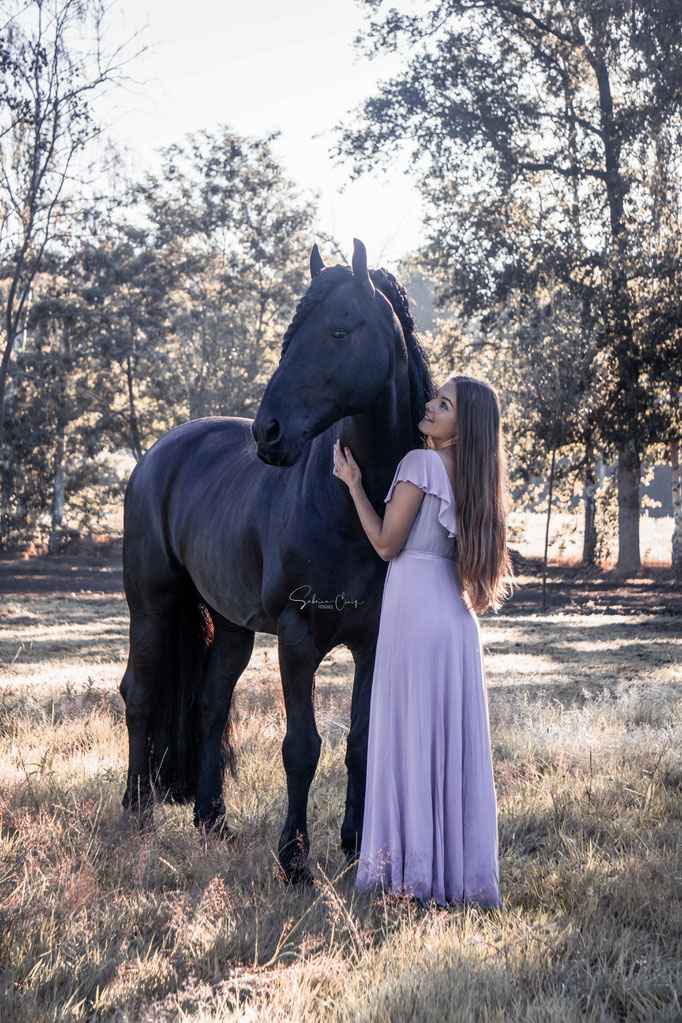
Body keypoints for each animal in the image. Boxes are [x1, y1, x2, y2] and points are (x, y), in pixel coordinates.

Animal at [120, 237, 435, 879]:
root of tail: (158, 454)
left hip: (232, 627)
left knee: (211, 706)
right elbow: (302, 748)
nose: (268, 432)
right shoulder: (296, 638)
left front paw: (356, 847)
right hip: (152, 606)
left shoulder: (372, 642)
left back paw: (212, 819)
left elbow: (360, 744)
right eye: (291, 336)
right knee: (138, 697)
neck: (358, 507)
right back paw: (136, 812)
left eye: (339, 331)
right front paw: (294, 859)